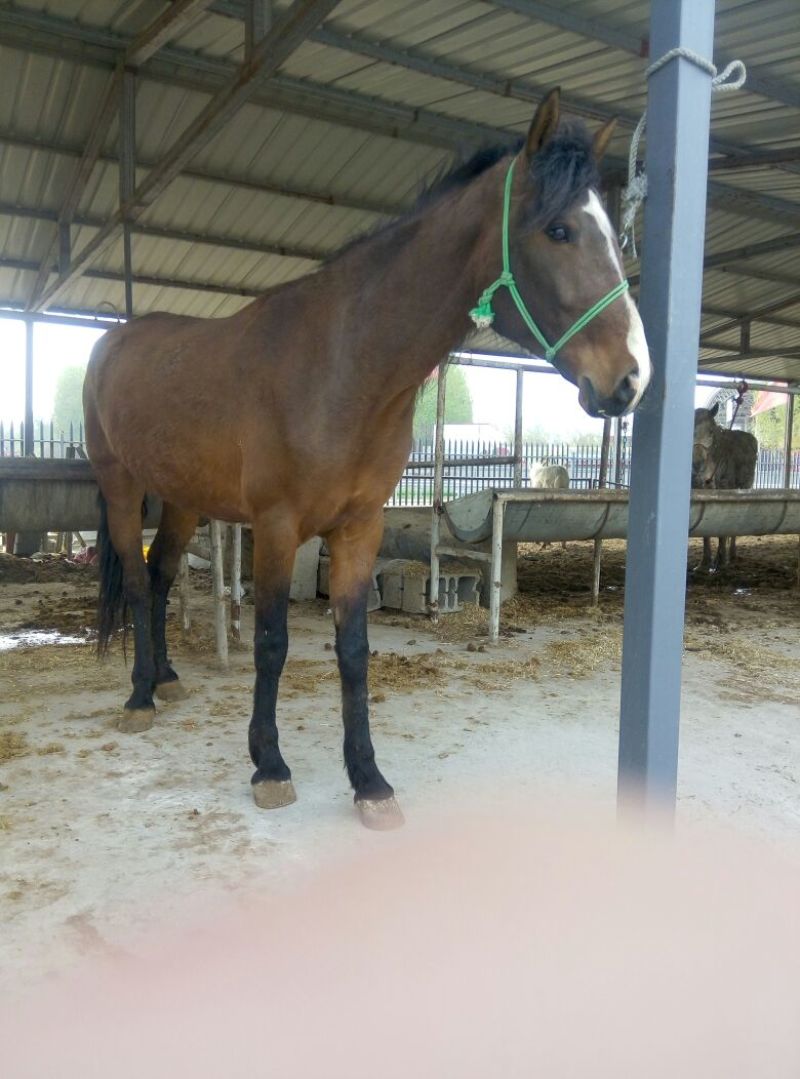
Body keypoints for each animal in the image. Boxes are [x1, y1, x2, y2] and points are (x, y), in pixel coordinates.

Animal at [83, 89, 651, 829]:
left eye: (612, 232)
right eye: (559, 230)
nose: (631, 378)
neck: (342, 365)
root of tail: (111, 343)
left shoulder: (360, 525)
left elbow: (353, 649)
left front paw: (370, 781)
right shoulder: (276, 526)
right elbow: (272, 641)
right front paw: (269, 764)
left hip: (182, 499)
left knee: (157, 579)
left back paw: (168, 680)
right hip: (123, 489)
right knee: (134, 576)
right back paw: (139, 696)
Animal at [692, 404, 758, 570]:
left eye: (711, 431)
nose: (697, 463)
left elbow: (722, 528)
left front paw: (720, 561)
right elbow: (706, 530)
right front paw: (704, 562)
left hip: (744, 488)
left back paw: (732, 555)